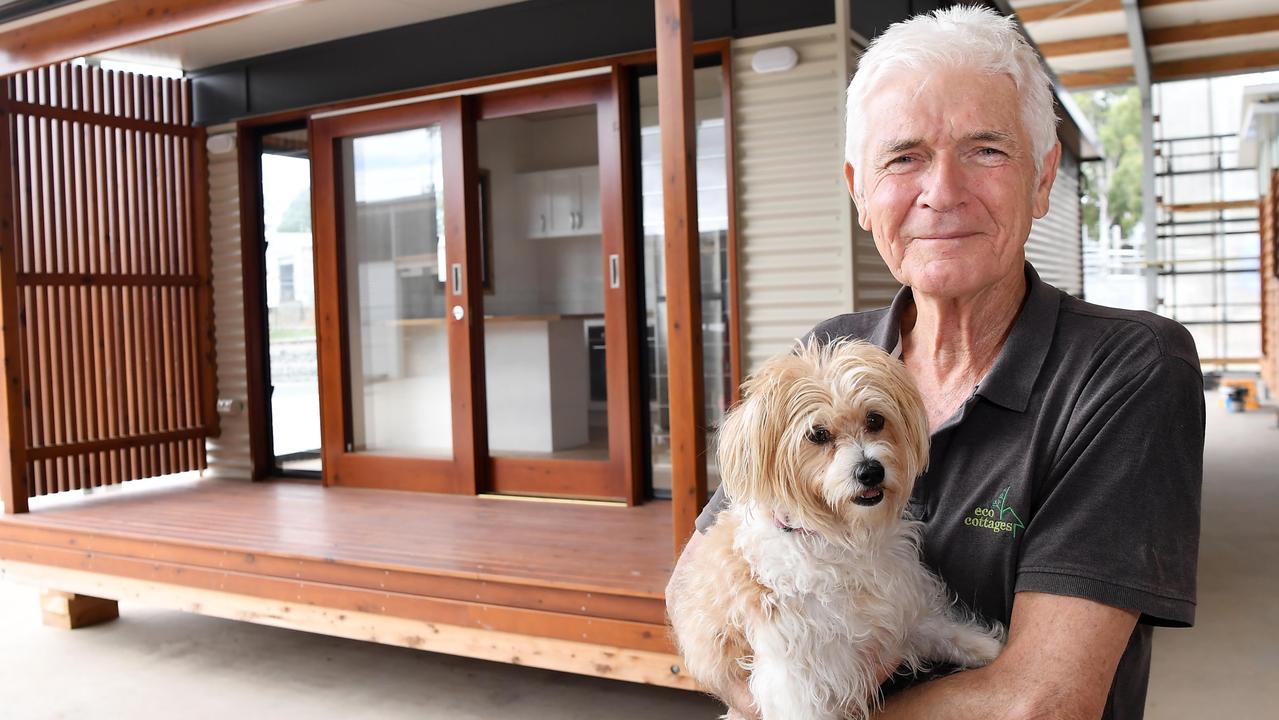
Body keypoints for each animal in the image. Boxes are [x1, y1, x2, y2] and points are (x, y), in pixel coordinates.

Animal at [665, 340, 1002, 720]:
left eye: (875, 419)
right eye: (817, 435)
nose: (870, 471)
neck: (839, 538)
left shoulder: (898, 604)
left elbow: (937, 629)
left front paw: (984, 646)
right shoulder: (794, 679)